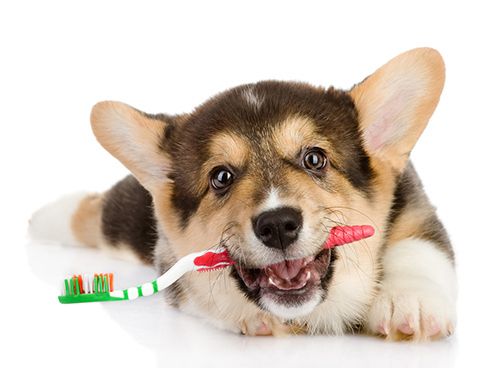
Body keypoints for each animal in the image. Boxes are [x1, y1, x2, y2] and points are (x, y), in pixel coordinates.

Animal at [31, 48, 458, 340]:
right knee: (97, 213)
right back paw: (45, 217)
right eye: (221, 177)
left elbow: (418, 249)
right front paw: (252, 316)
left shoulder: (415, 206)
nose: (278, 225)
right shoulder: (172, 260)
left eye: (315, 159)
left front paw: (409, 302)